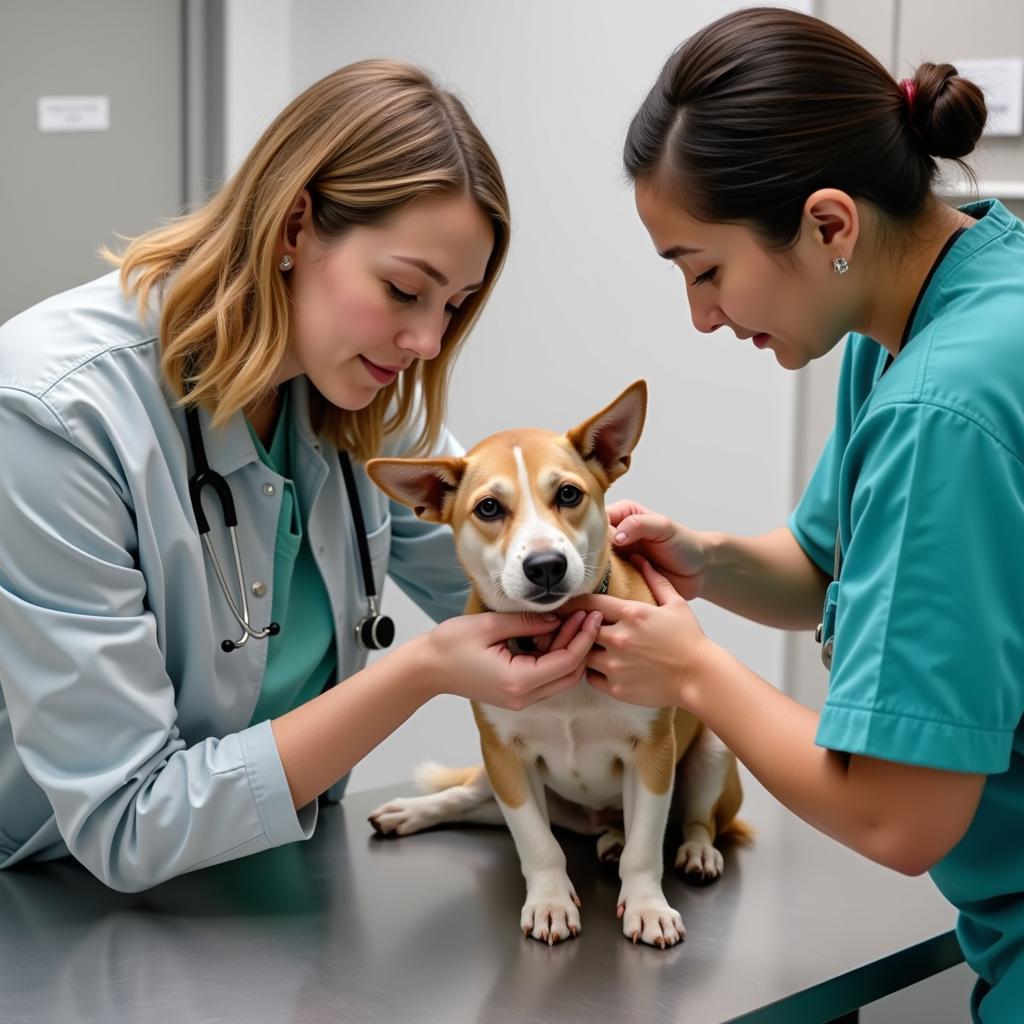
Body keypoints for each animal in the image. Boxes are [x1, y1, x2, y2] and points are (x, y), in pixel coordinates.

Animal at [364, 380, 749, 946]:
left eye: (568, 494)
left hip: (715, 753)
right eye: (488, 508)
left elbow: (645, 848)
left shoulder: (653, 754)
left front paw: (647, 906)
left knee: (700, 820)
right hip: (500, 779)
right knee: (468, 798)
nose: (545, 565)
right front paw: (549, 902)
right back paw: (410, 811)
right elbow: (536, 843)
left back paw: (691, 850)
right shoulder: (505, 758)